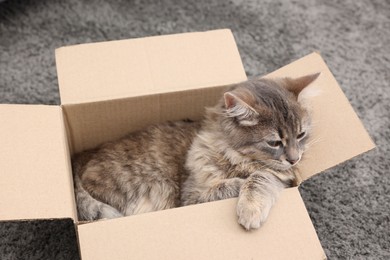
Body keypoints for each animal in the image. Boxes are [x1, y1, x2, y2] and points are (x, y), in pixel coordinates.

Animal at [71, 72, 318, 230]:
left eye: (300, 135)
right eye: (274, 143)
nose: (295, 159)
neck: (235, 156)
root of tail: (81, 159)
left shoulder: (280, 177)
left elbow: (262, 177)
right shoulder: (190, 197)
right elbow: (235, 183)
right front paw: (246, 200)